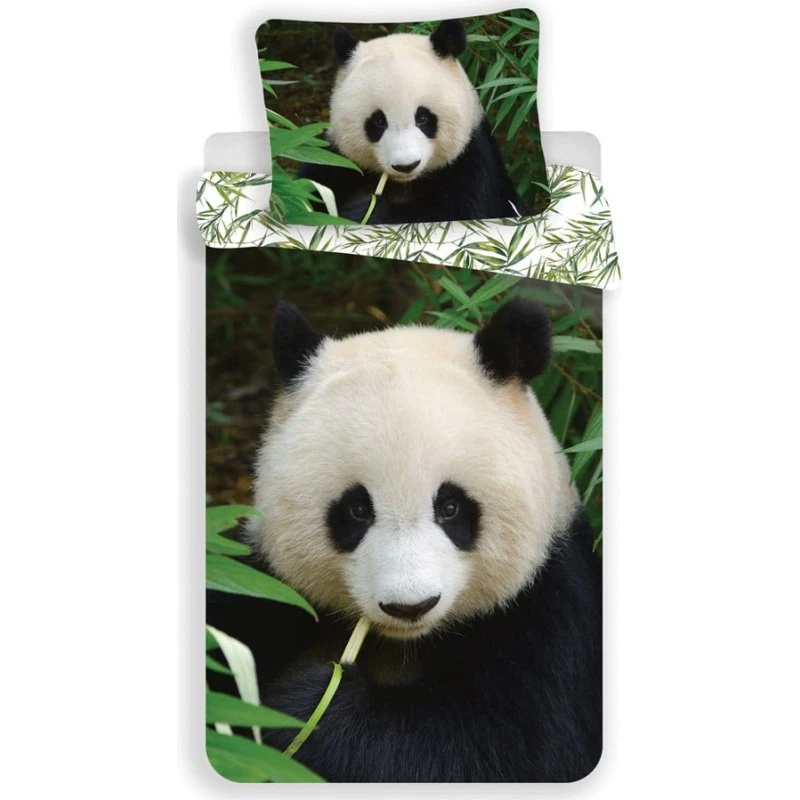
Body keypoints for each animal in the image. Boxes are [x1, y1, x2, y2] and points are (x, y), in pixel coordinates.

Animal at [207, 298, 602, 783]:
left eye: (450, 507)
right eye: (357, 510)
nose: (410, 606)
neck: (404, 642)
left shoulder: (551, 607)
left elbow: (509, 747)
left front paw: (308, 707)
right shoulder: (265, 582)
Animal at [298, 20, 525, 224]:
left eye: (423, 118)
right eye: (379, 121)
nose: (406, 165)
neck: (404, 184)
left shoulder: (472, 162)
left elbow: (458, 213)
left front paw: (367, 210)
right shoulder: (334, 159)